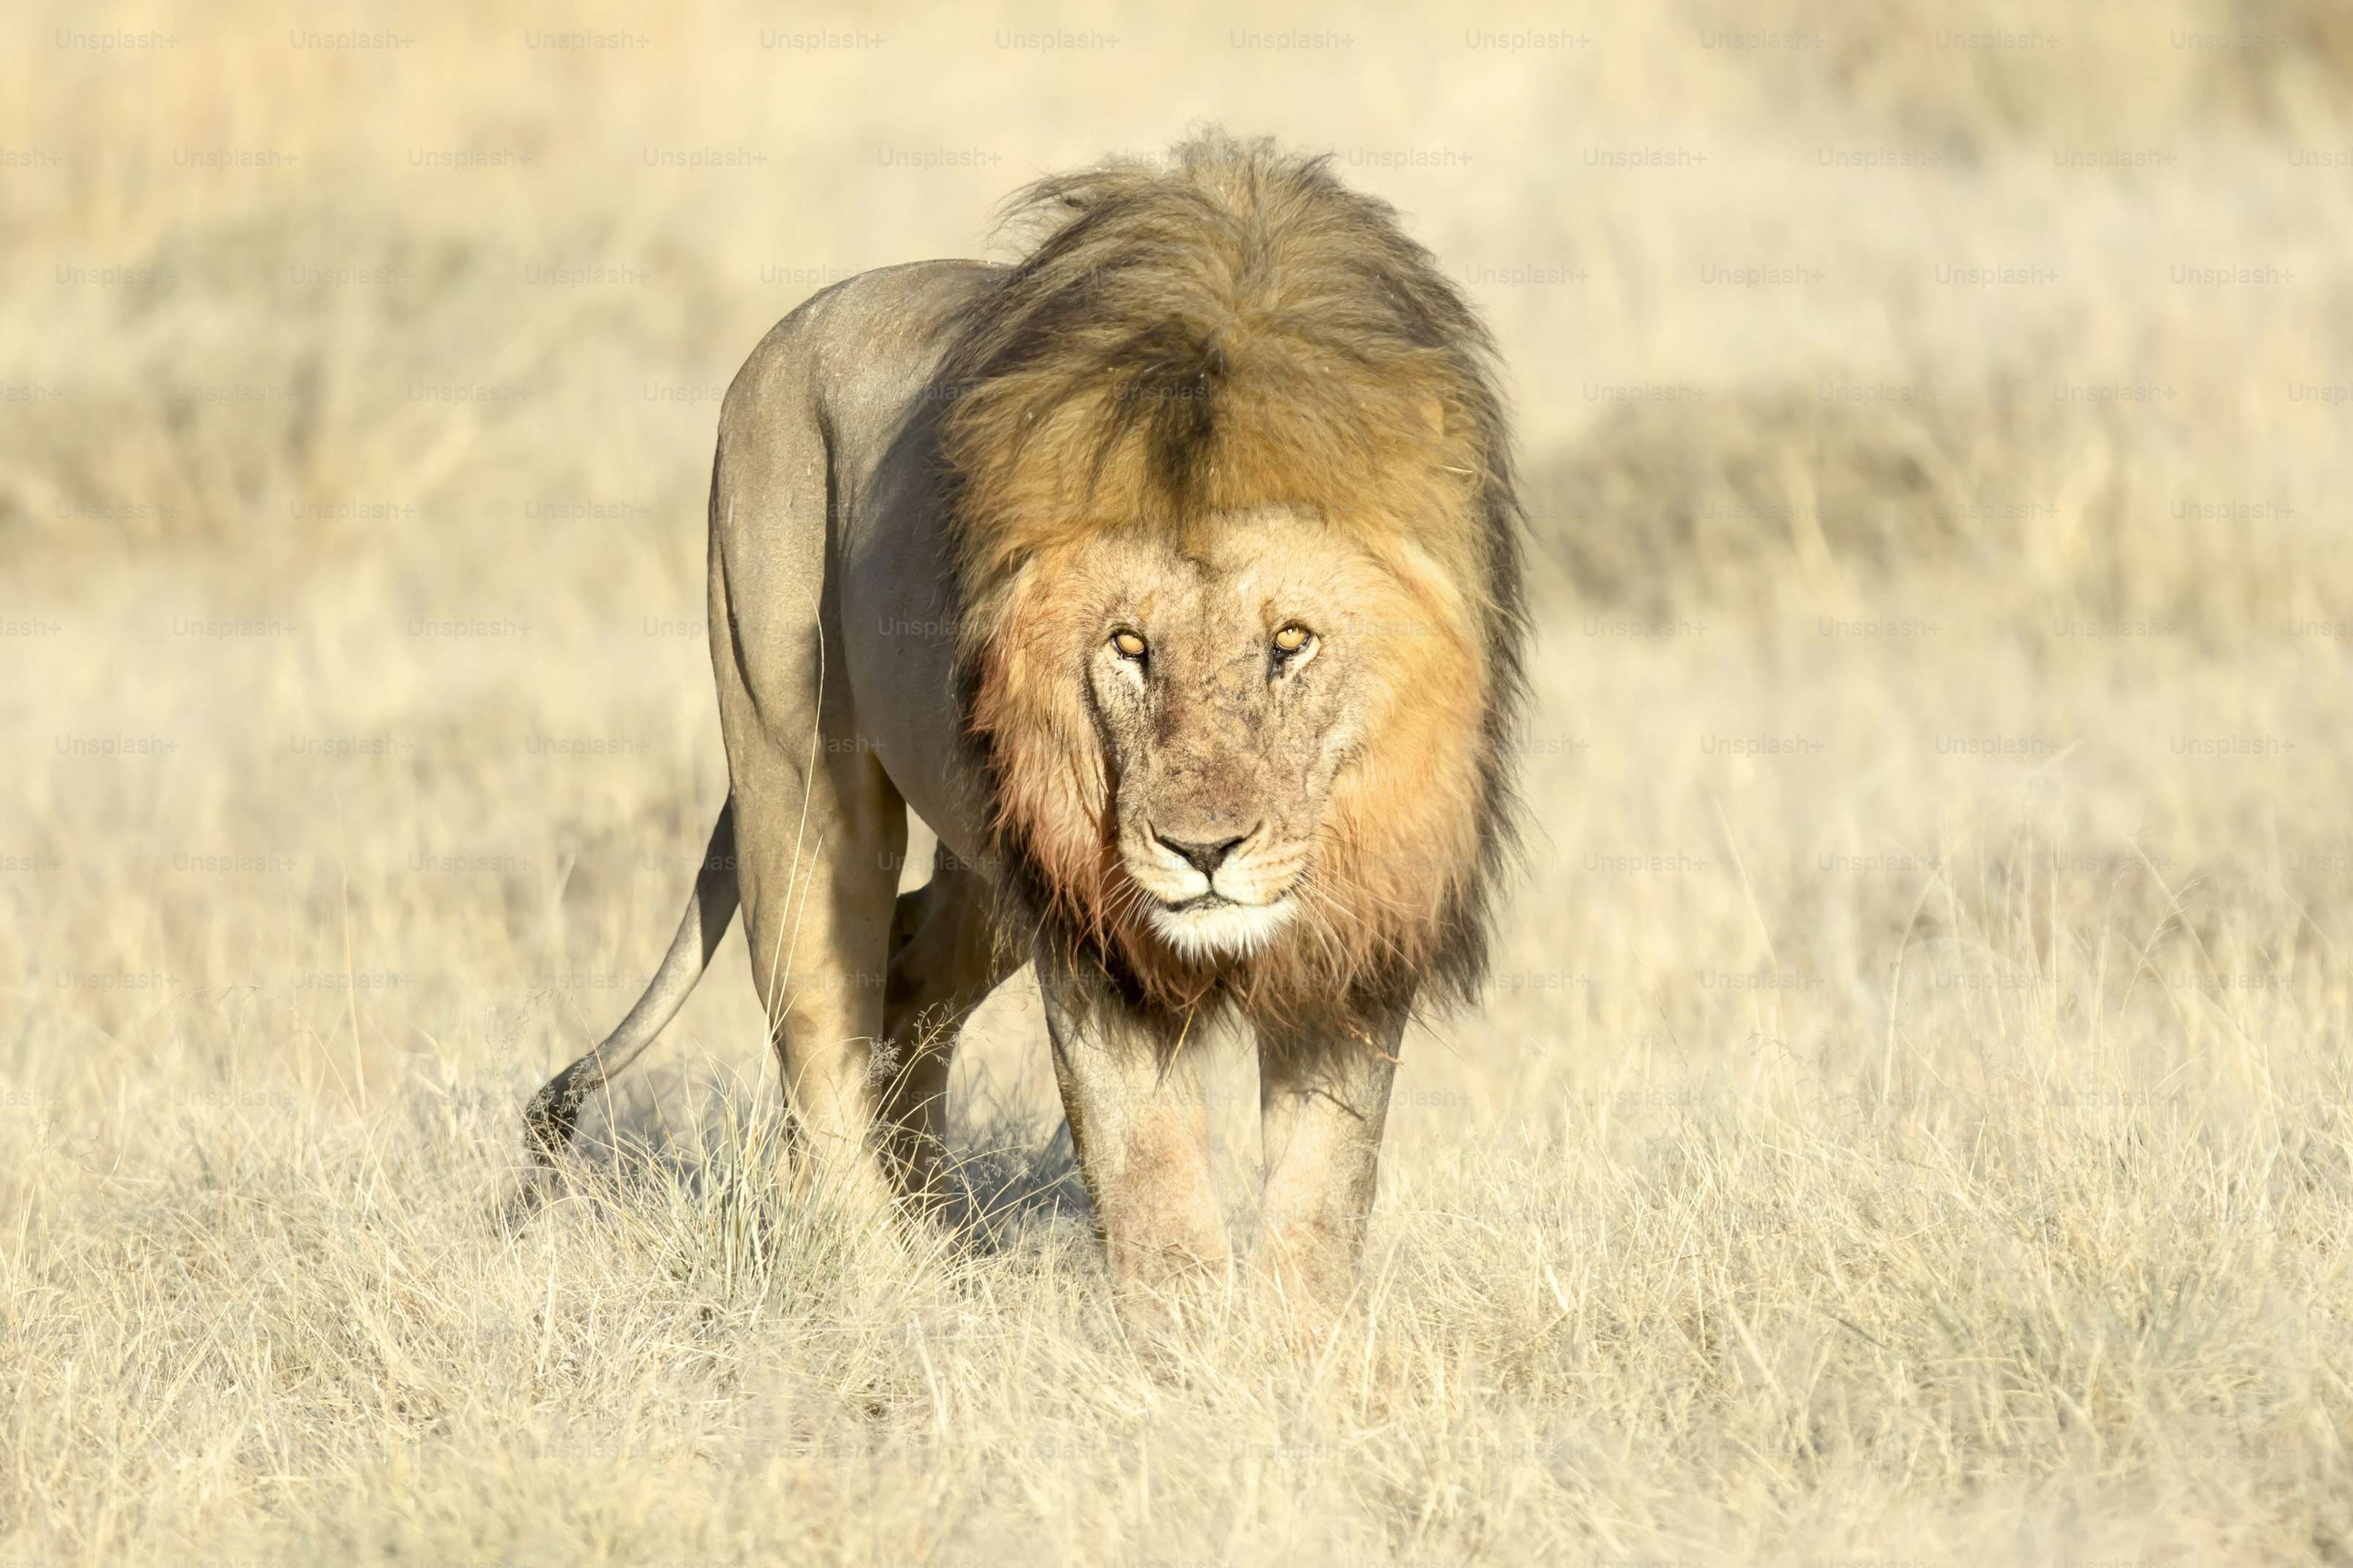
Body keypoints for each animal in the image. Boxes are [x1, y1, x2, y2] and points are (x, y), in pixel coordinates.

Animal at [520, 131, 1524, 1309]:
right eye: (1128, 646)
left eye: (1290, 642)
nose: (1204, 852)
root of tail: (792, 328)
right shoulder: (1095, 939)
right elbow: (1152, 1186)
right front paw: (1188, 1349)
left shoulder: (1367, 922)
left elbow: (1323, 1196)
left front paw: (1291, 1346)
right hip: (796, 769)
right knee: (821, 1028)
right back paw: (883, 1287)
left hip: (995, 849)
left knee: (911, 979)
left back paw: (942, 1238)